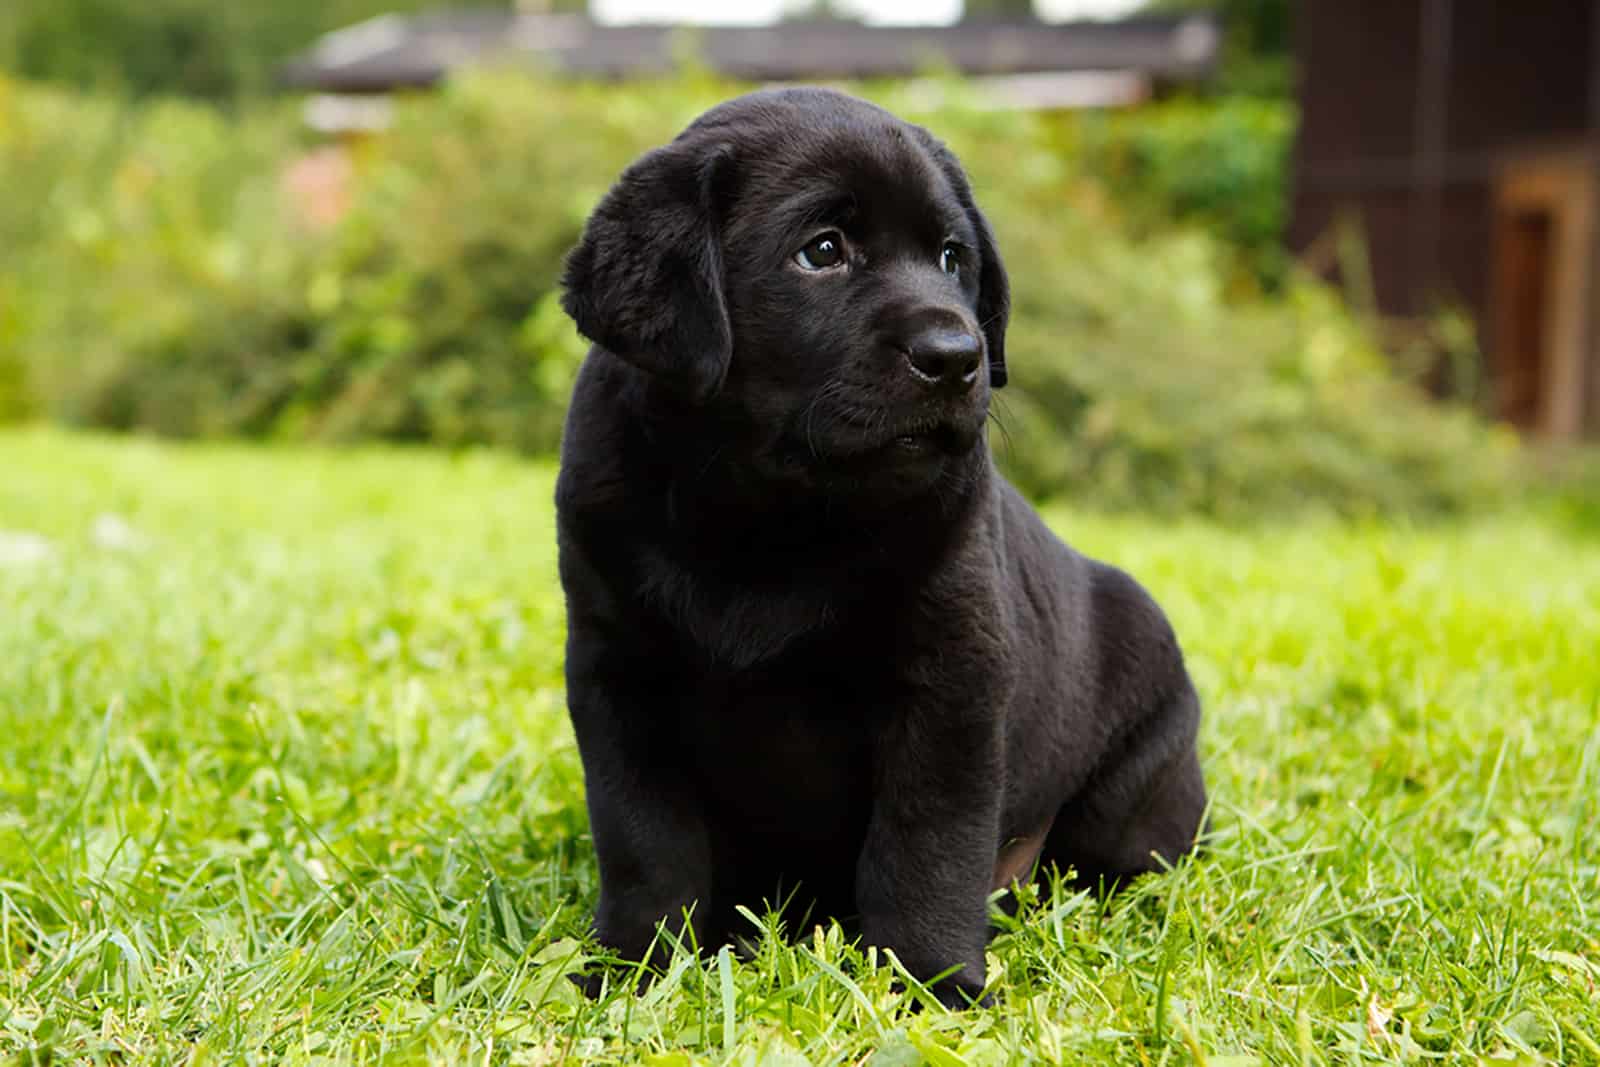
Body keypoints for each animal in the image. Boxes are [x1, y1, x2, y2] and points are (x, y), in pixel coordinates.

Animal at [556, 87, 1203, 1004]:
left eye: (951, 258)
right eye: (822, 251)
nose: (958, 355)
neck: (767, 515)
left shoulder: (950, 682)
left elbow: (927, 845)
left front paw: (930, 981)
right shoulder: (617, 675)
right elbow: (645, 841)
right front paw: (632, 966)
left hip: (1133, 790)